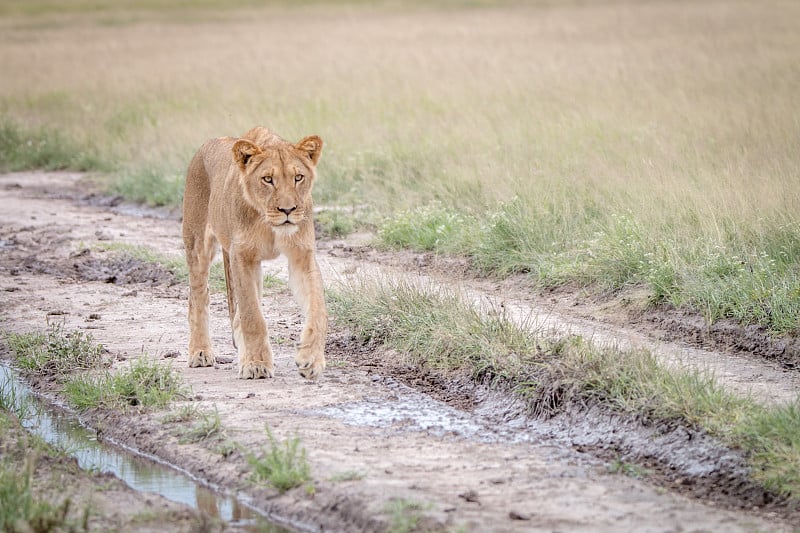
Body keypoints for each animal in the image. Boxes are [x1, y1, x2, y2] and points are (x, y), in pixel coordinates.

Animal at [183, 125, 326, 378]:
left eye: (298, 177)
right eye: (267, 179)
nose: (288, 210)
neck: (268, 223)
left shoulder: (302, 256)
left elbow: (317, 307)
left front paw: (311, 359)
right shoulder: (241, 256)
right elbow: (252, 315)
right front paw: (256, 364)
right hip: (197, 244)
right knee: (198, 298)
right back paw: (200, 352)